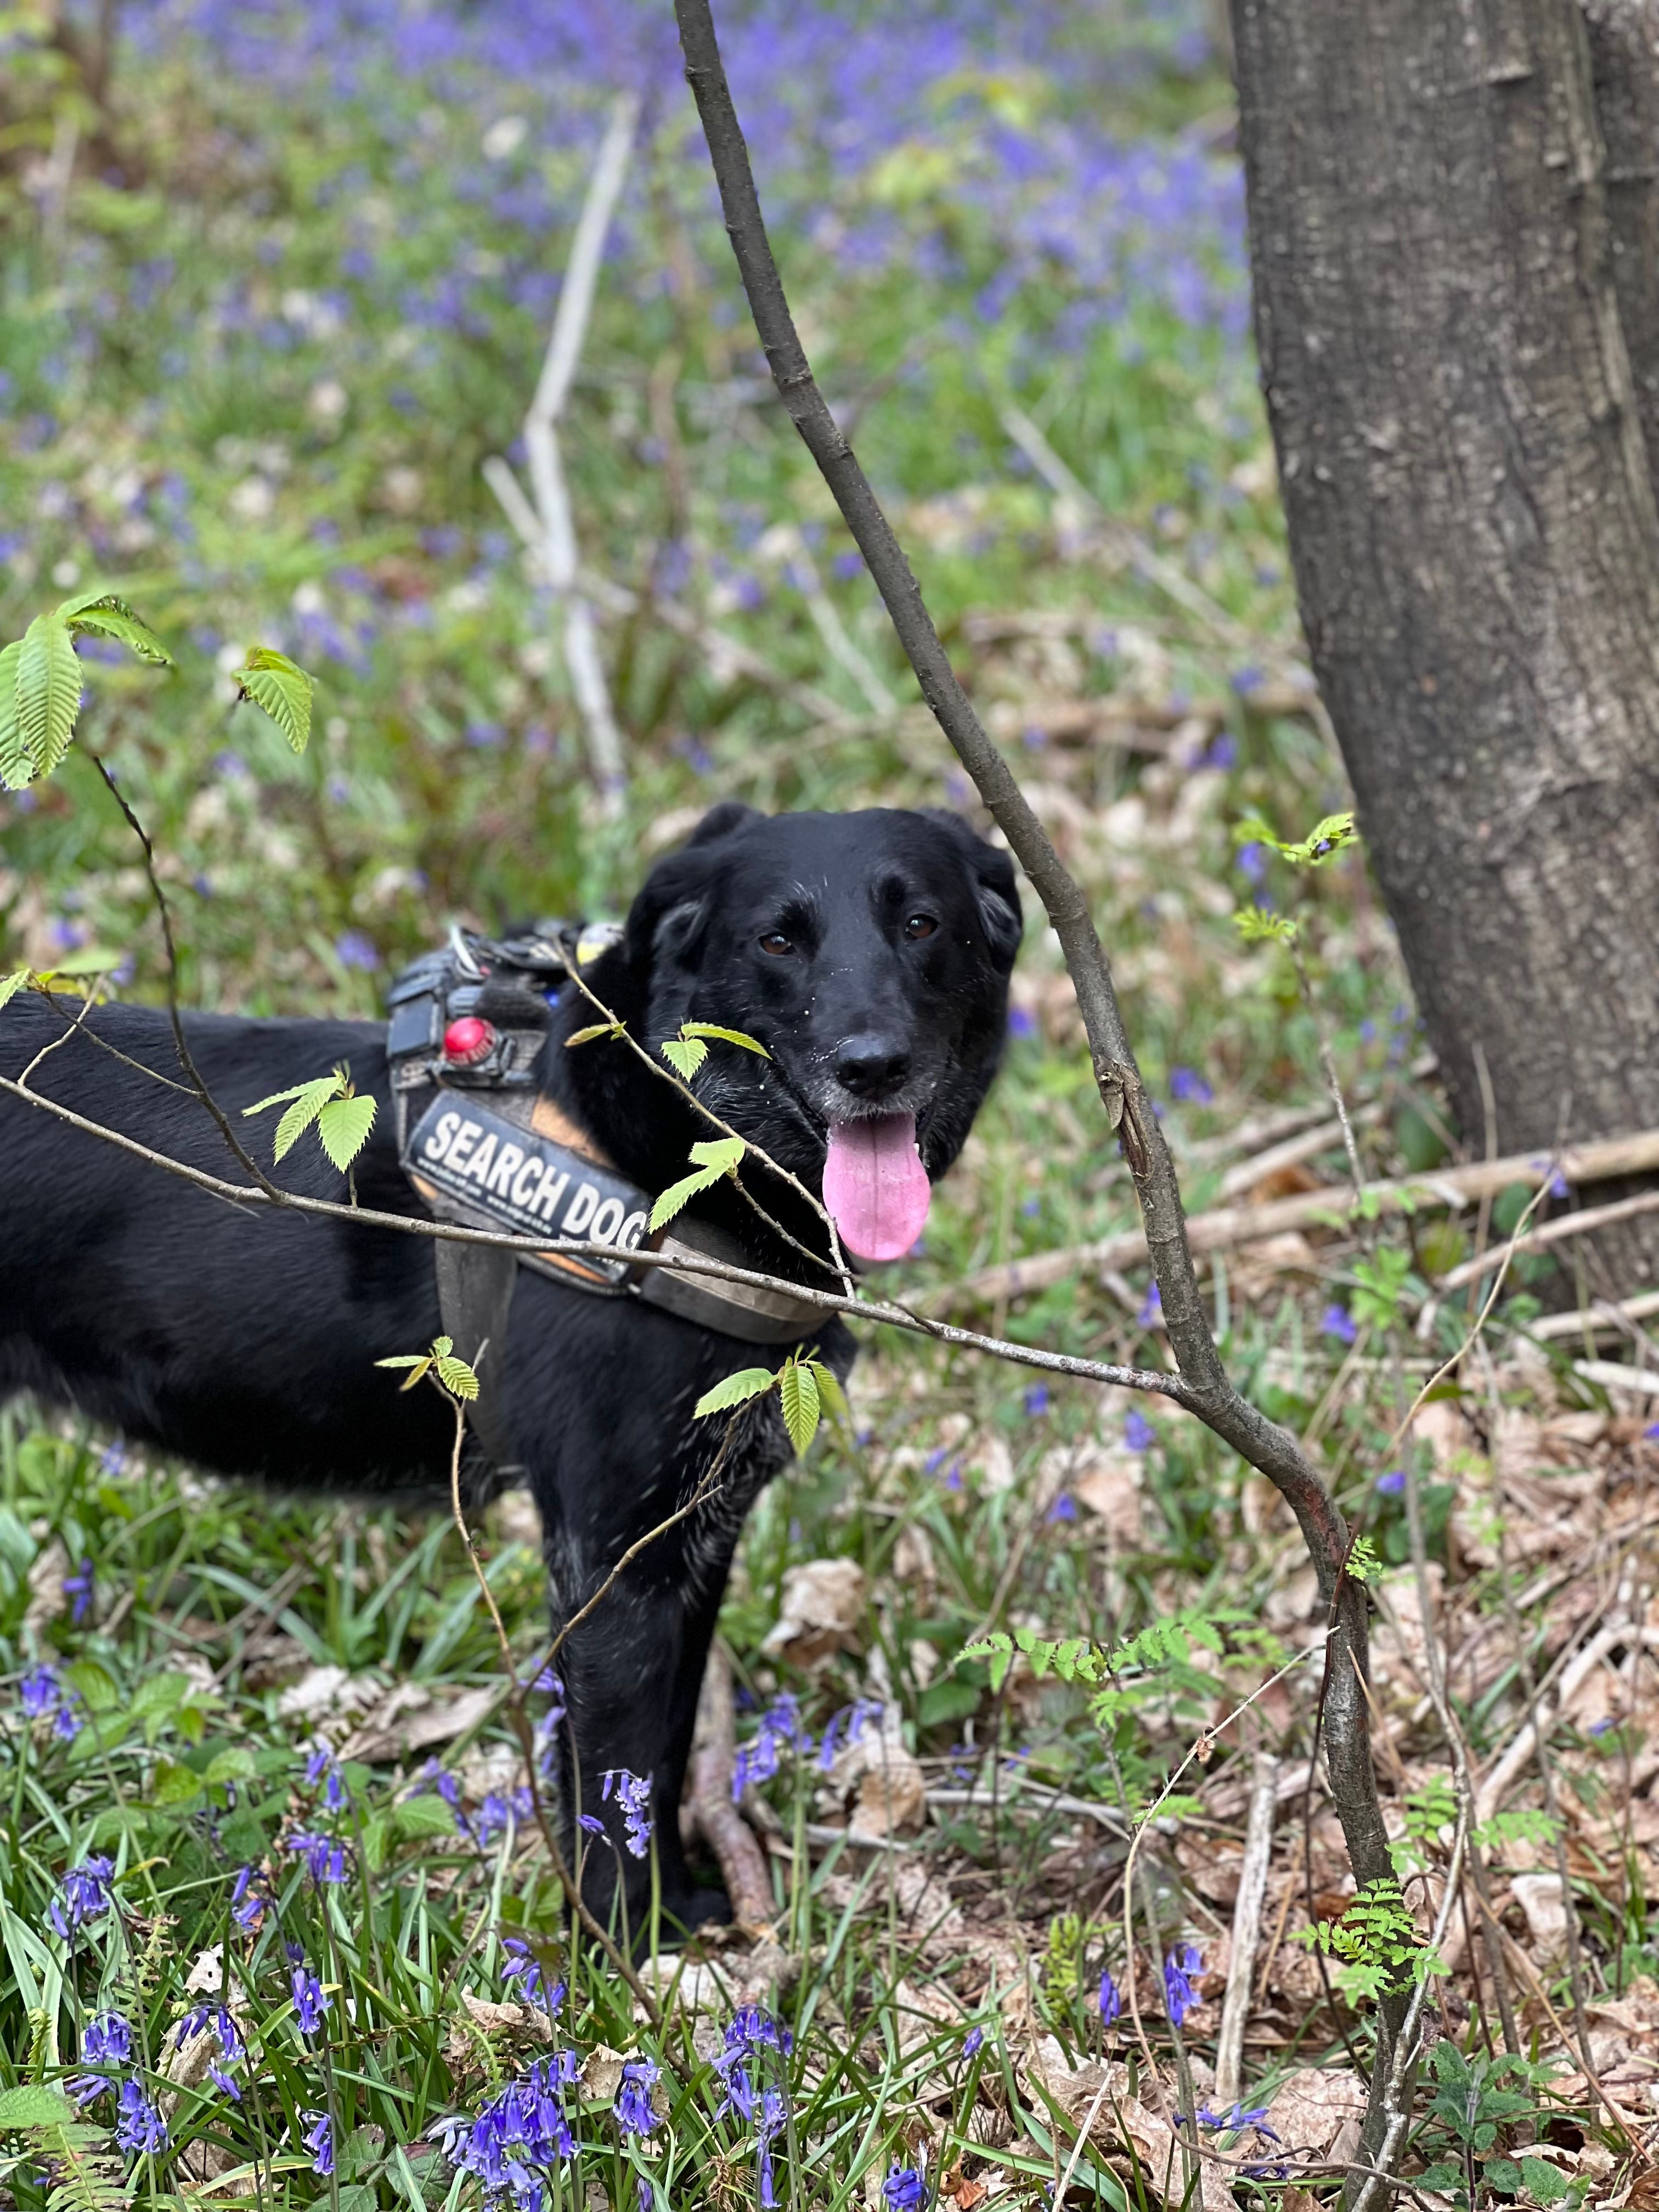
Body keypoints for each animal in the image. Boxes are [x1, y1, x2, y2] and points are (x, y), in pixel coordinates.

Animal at [0, 805, 1022, 1928]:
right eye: (777, 940)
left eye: (921, 924)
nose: (871, 1064)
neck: (657, 1148)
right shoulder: (609, 1558)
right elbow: (614, 1787)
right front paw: (632, 1951)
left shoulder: (691, 1542)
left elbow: (661, 1761)